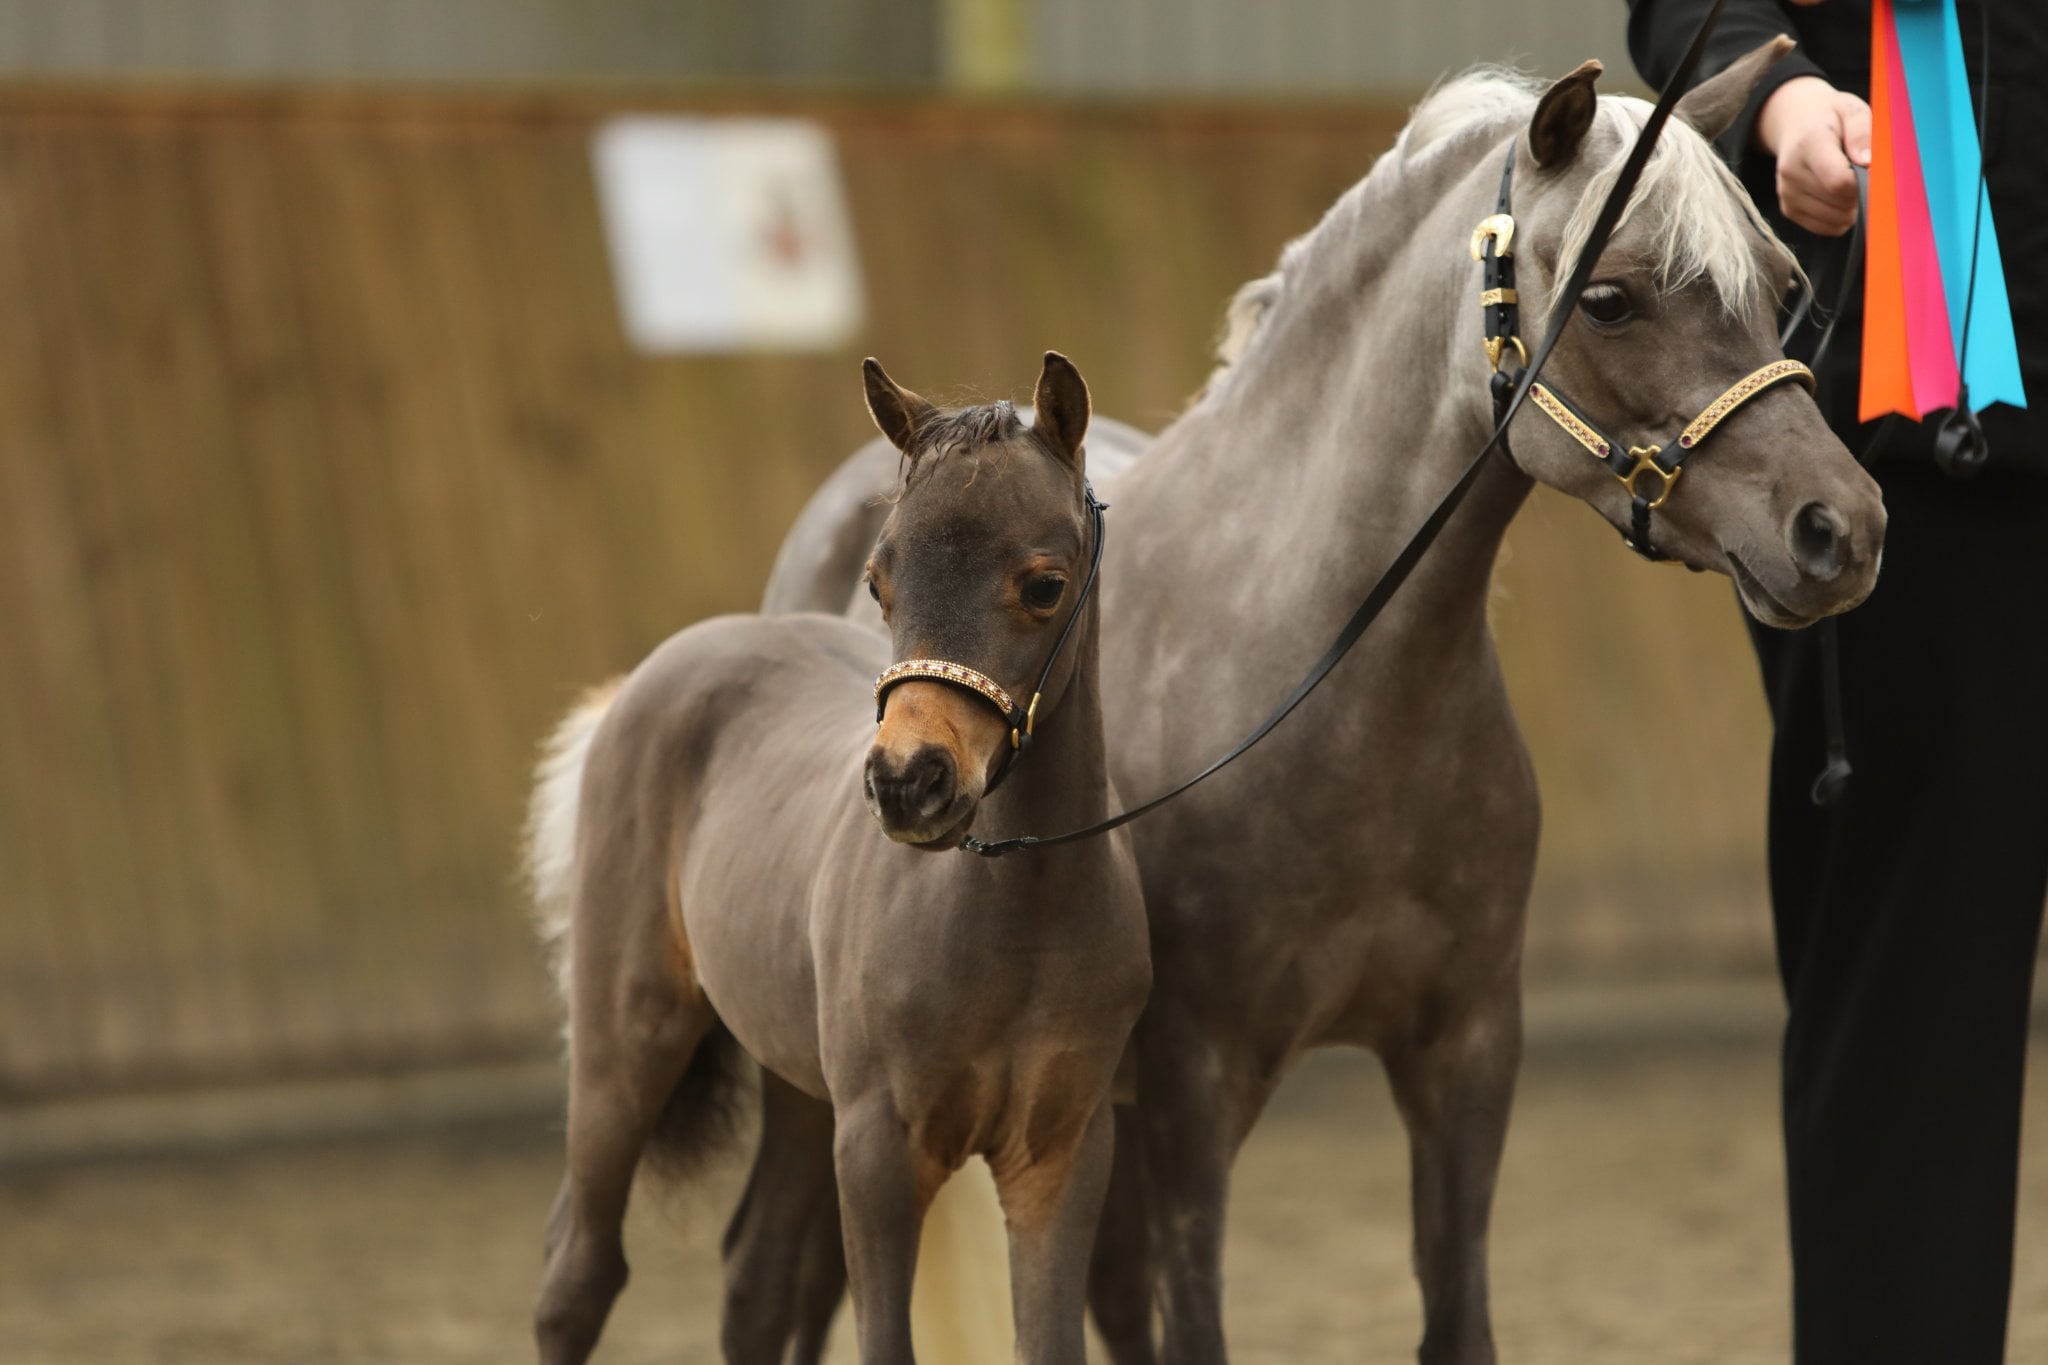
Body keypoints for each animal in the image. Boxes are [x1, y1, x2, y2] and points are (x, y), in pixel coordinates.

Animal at [525, 353, 1152, 1365]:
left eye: (1044, 584)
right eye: (879, 579)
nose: (908, 782)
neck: (1014, 915)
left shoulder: (1060, 1151)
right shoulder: (877, 1148)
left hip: (792, 1081)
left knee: (755, 1274)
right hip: (628, 1040)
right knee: (577, 1274)